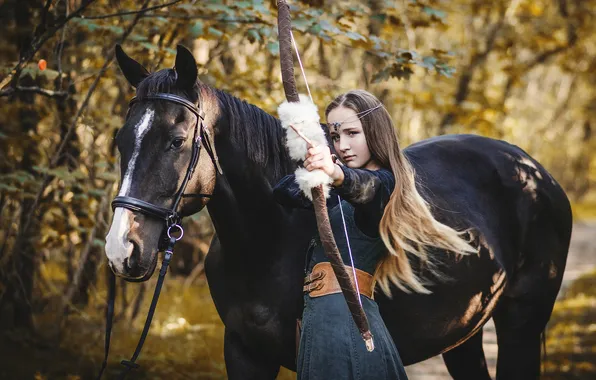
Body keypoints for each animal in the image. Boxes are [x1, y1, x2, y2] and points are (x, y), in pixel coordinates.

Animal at [106, 45, 572, 380]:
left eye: (177, 141)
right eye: (120, 140)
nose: (120, 250)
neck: (268, 240)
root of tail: (536, 173)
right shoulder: (244, 352)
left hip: (521, 324)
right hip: (463, 332)